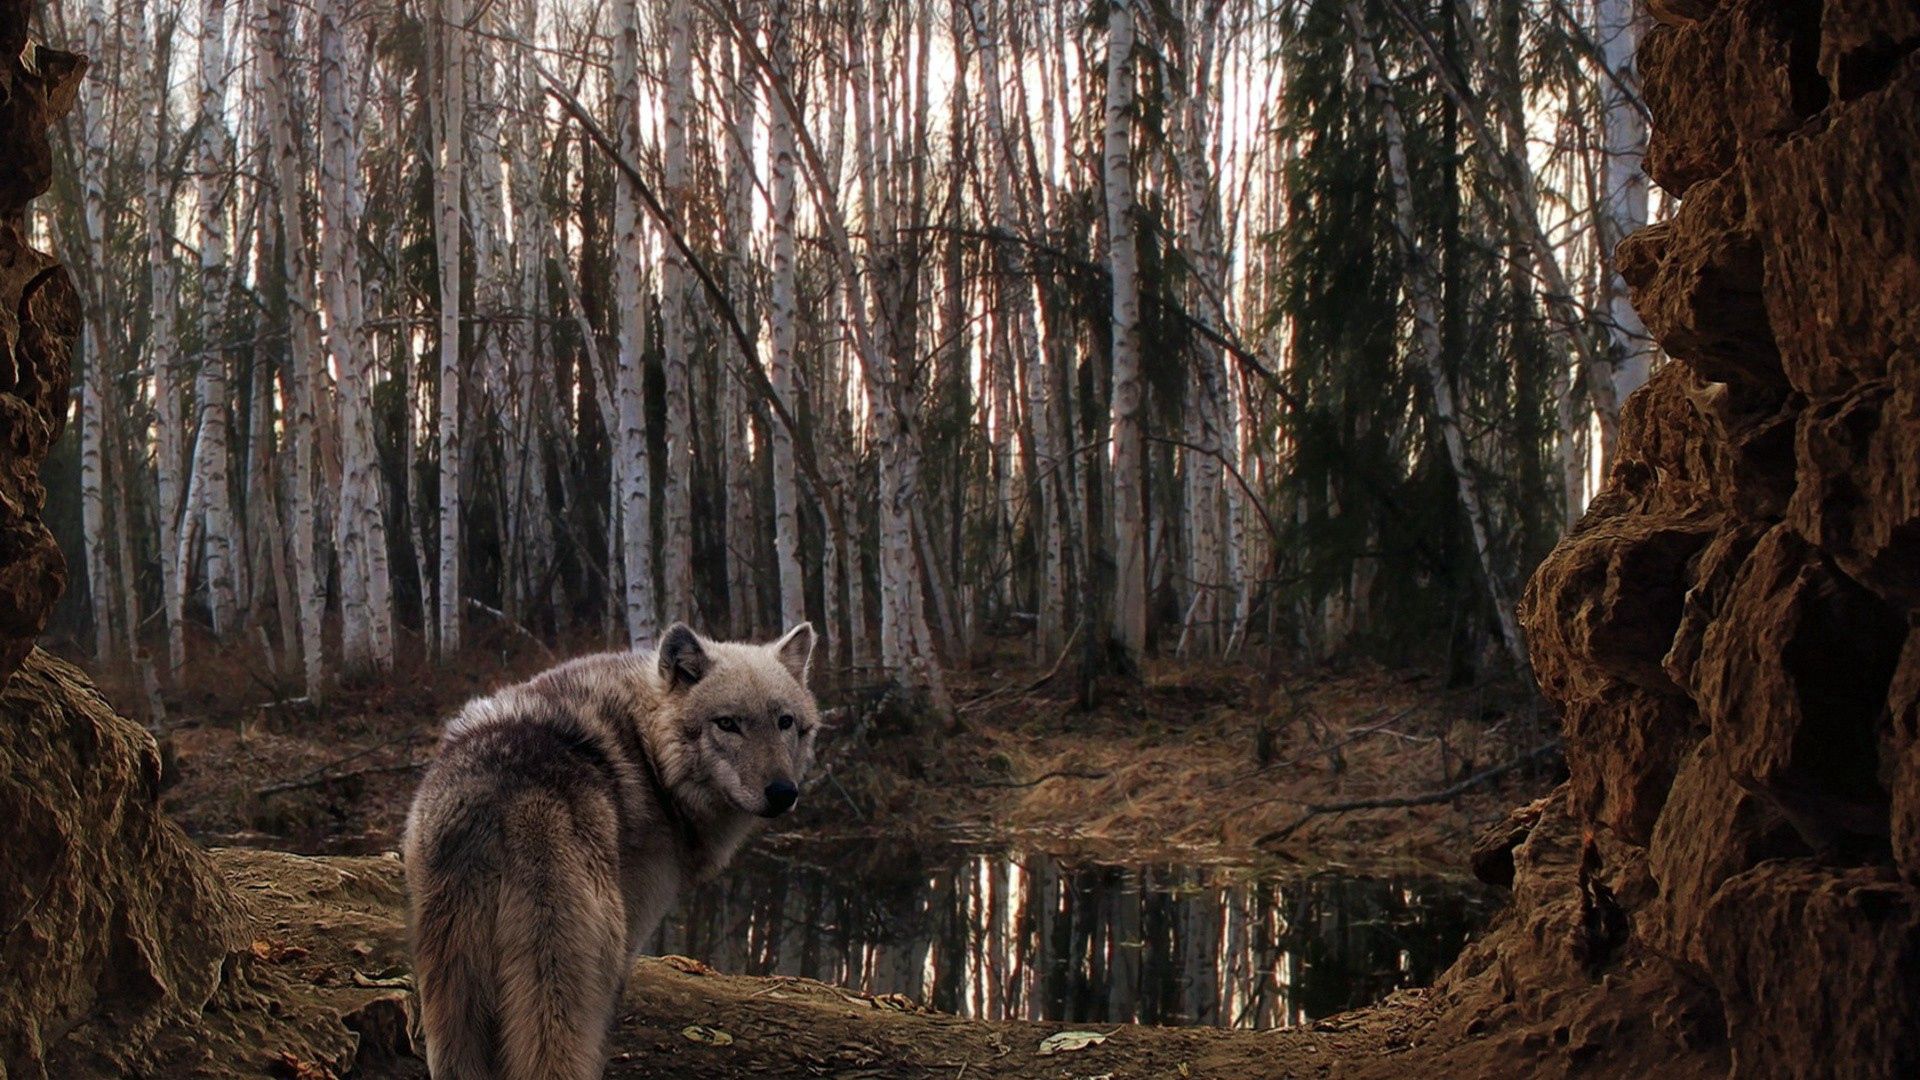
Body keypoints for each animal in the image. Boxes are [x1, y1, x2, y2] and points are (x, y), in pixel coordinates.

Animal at [401, 618, 821, 1068]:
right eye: (727, 724)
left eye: (785, 722)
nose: (783, 792)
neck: (649, 753)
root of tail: (509, 798)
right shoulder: (633, 934)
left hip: (452, 997)